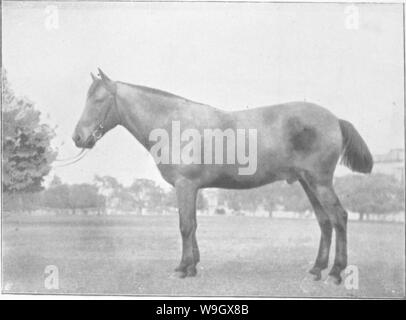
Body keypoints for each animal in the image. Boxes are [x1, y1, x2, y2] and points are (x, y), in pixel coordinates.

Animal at [71, 69, 372, 284]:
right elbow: (192, 224)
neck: (172, 124)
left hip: (319, 182)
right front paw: (192, 266)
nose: (78, 137)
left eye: (98, 100)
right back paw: (316, 270)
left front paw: (181, 268)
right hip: (308, 183)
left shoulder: (185, 185)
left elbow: (185, 226)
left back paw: (335, 273)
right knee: (325, 222)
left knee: (339, 218)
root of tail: (335, 120)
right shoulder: (191, 188)